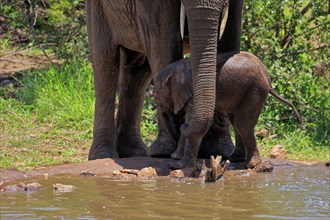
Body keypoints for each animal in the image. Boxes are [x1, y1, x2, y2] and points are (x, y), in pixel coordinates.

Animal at [86, 0, 244, 161]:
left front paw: (219, 152)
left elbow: (229, 35)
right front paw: (165, 152)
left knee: (139, 71)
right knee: (105, 62)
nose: (182, 130)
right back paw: (102, 155)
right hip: (97, 9)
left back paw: (133, 153)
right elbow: (163, 41)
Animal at [154, 51, 300, 168]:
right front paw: (176, 157)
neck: (176, 68)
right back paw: (234, 159)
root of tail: (268, 78)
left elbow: (191, 121)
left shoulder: (193, 94)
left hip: (256, 89)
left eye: (158, 100)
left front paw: (180, 164)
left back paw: (251, 164)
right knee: (235, 122)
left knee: (242, 124)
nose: (180, 128)